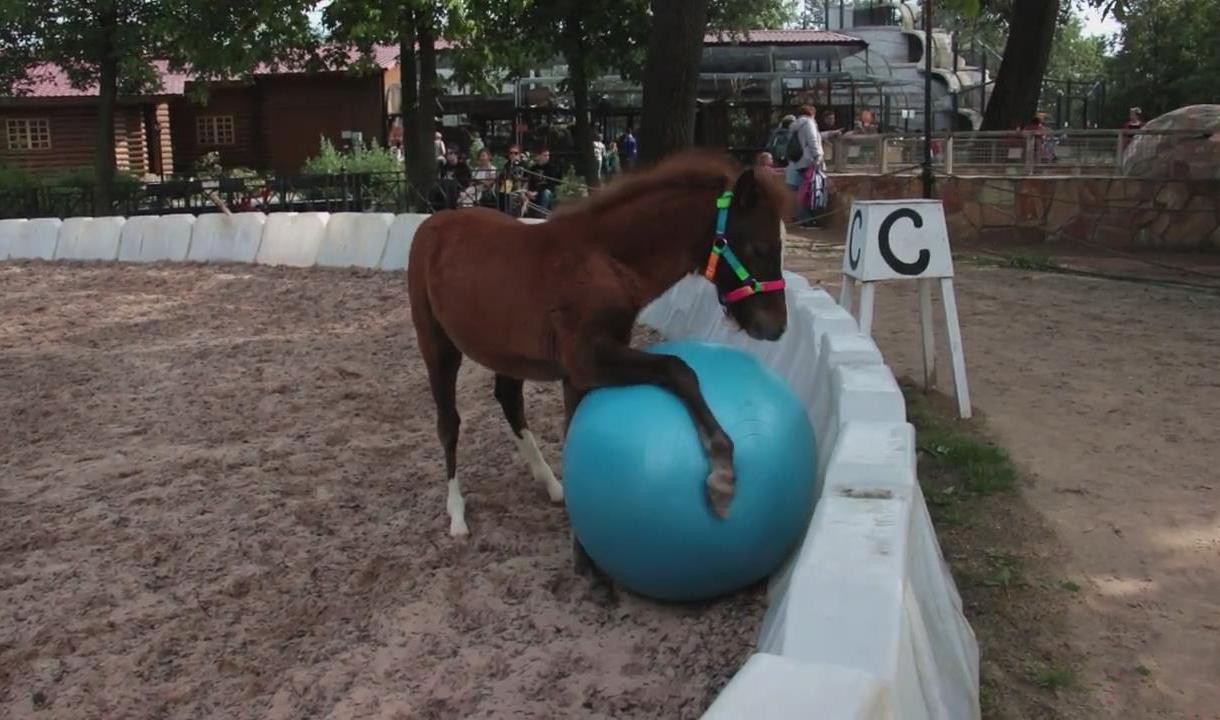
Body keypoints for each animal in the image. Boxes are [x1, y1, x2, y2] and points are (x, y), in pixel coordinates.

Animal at [407, 150, 790, 546]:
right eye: (760, 248)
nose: (776, 326)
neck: (605, 260)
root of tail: (433, 222)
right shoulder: (587, 362)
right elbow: (678, 368)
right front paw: (723, 474)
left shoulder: (582, 372)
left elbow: (573, 429)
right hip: (436, 344)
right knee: (449, 422)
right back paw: (456, 512)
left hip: (507, 353)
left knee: (509, 400)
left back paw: (550, 484)